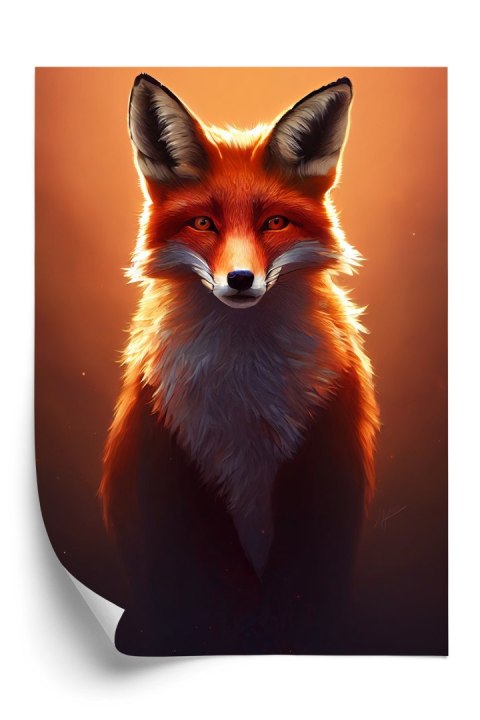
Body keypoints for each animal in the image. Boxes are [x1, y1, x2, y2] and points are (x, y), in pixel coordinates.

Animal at [99, 73, 379, 656]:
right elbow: (204, 586)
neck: (244, 393)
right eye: (204, 223)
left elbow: (297, 592)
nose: (241, 280)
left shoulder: (321, 466)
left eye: (274, 222)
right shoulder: (174, 467)